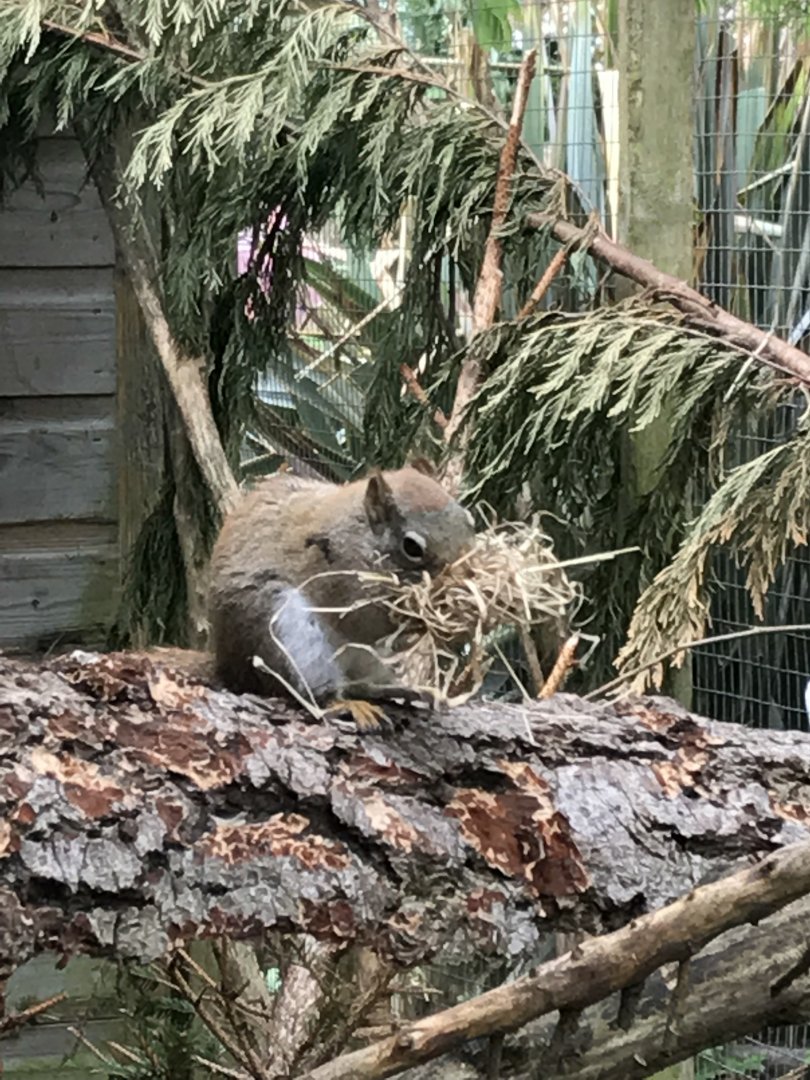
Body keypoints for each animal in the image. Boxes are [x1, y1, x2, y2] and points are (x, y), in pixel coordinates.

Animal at [207, 460, 476, 729]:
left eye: (469, 523)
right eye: (412, 546)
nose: (466, 573)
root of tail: (228, 664)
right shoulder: (336, 578)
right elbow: (363, 620)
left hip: (370, 659)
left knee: (364, 685)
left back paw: (406, 690)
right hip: (286, 633)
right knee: (312, 692)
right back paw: (345, 705)